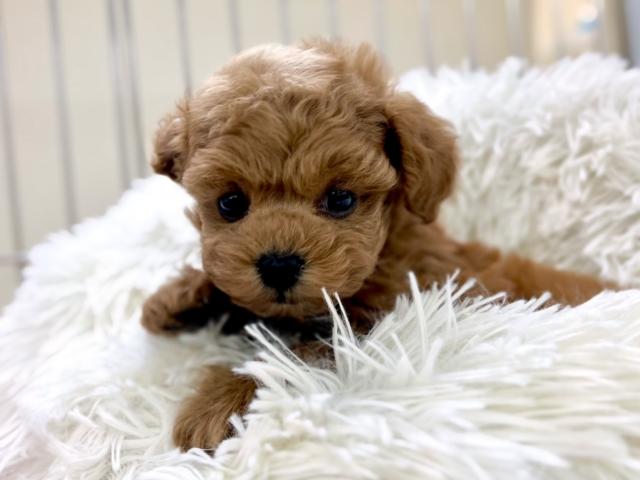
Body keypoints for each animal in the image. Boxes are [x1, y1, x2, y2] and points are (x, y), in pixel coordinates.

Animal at [141, 39, 613, 451]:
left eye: (341, 199)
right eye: (231, 203)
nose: (278, 265)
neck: (384, 251)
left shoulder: (381, 322)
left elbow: (295, 353)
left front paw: (217, 403)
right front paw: (177, 299)